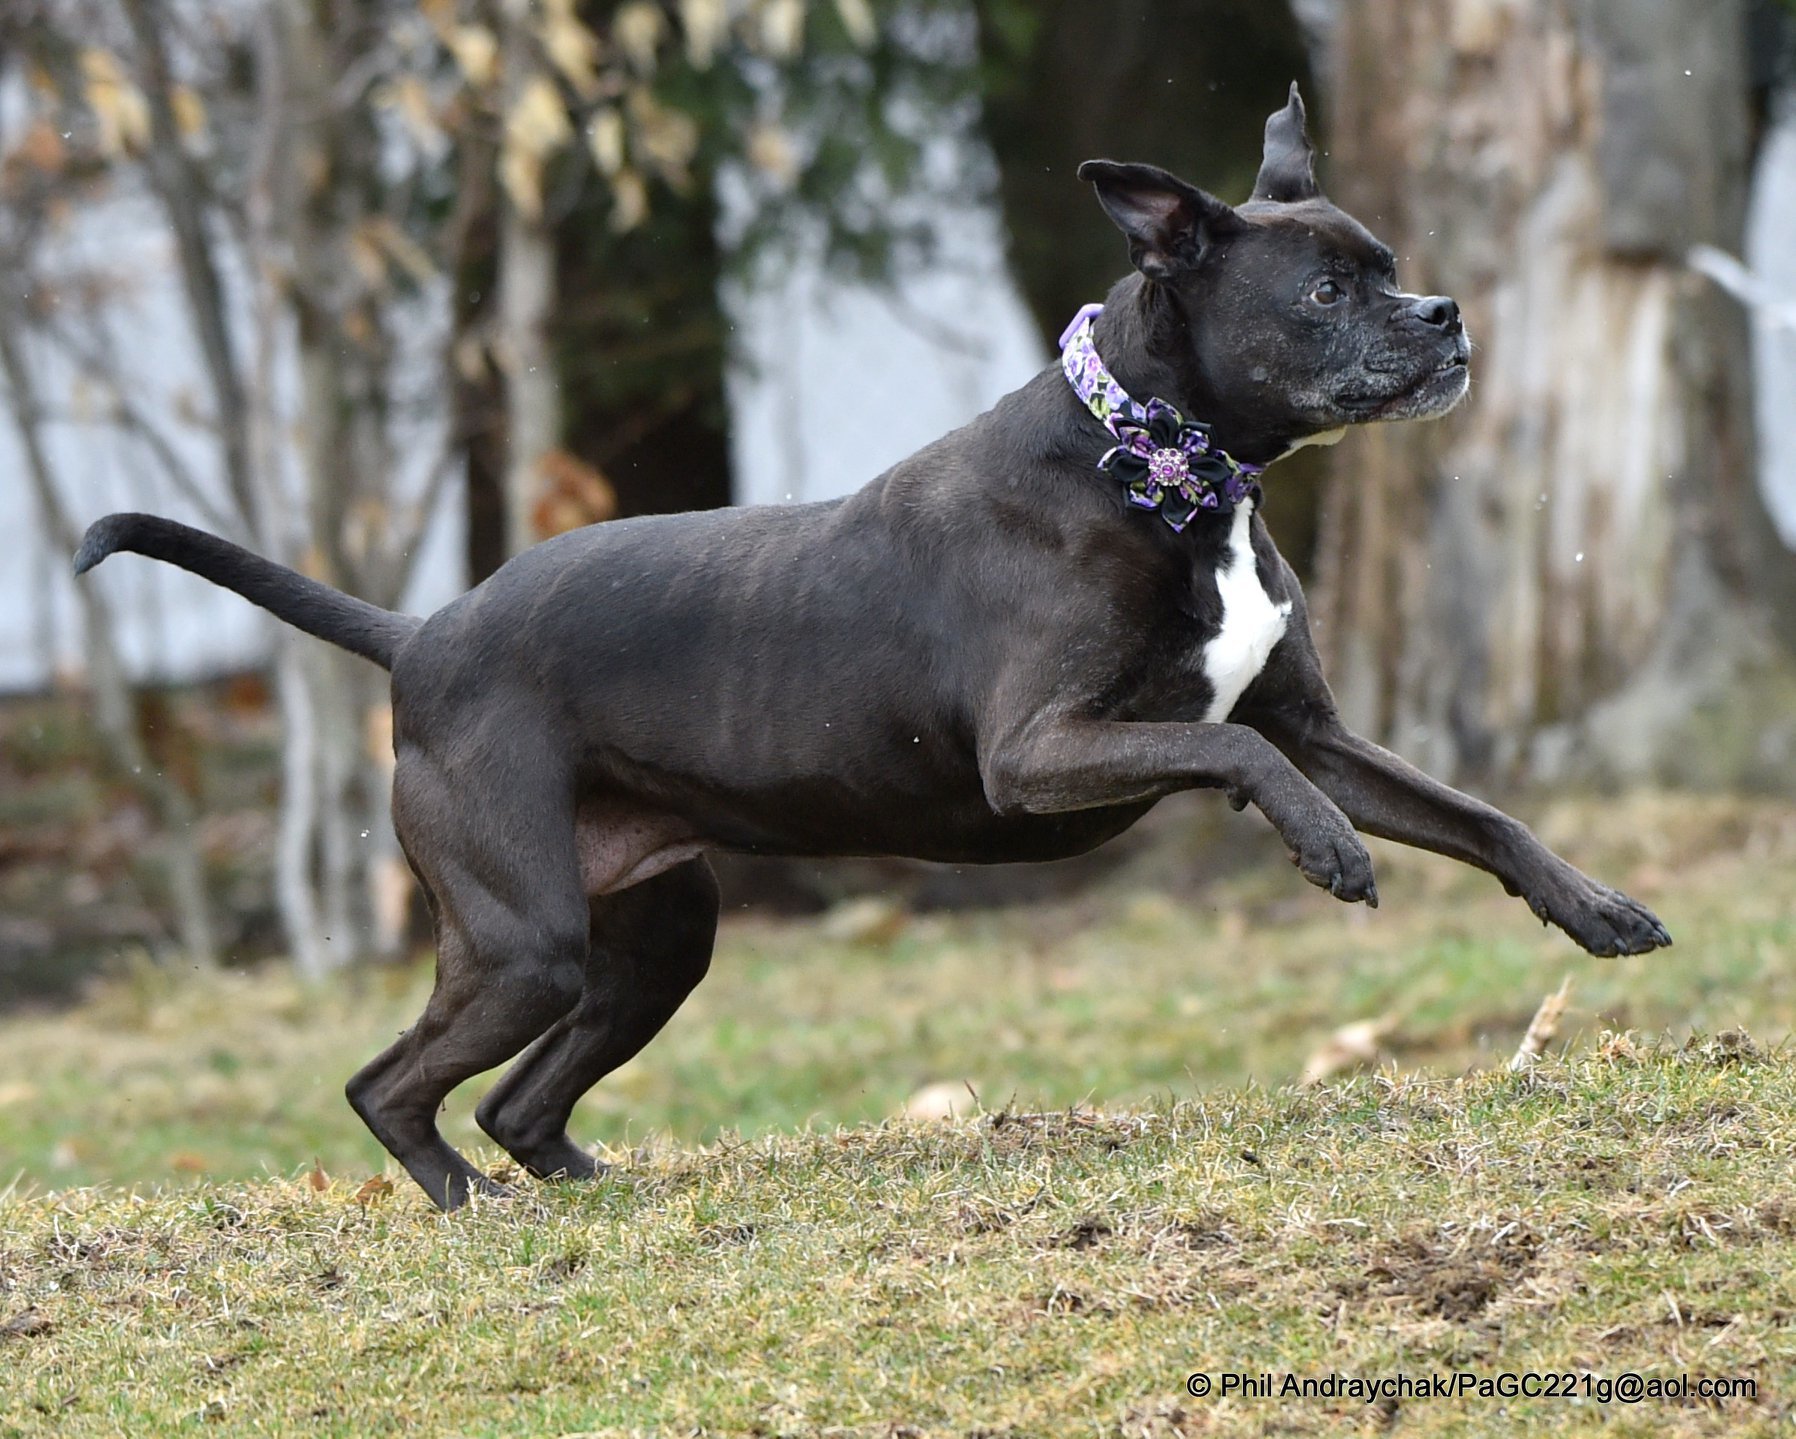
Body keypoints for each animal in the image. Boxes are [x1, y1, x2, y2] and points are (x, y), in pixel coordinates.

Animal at [70, 87, 1666, 1214]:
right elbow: (1226, 745)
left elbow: (1477, 810)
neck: (1158, 468)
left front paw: (1595, 909)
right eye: (1325, 293)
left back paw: (592, 1194)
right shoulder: (1042, 752)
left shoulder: (1322, 727)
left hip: (653, 940)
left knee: (522, 1103)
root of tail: (421, 632)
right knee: (386, 1084)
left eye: (1386, 262)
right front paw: (1327, 849)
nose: (1446, 313)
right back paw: (466, 1203)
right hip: (525, 940)